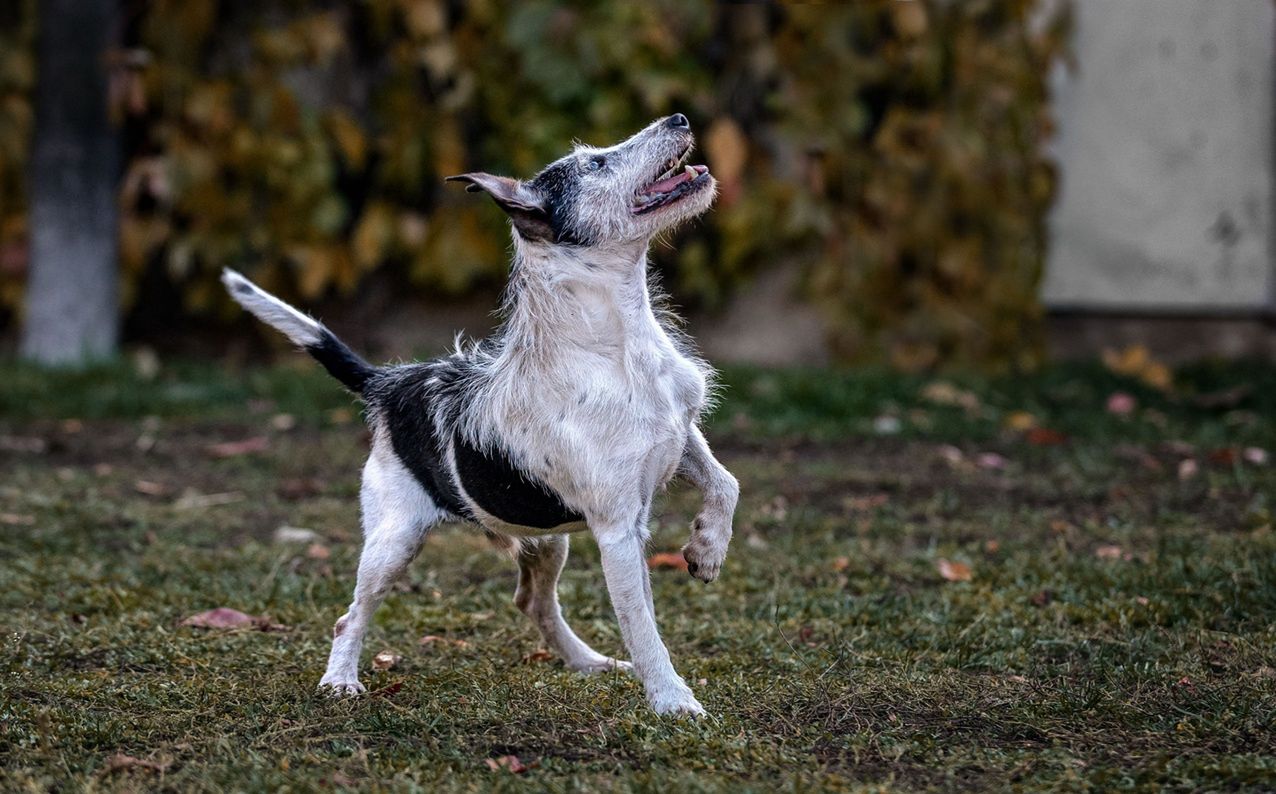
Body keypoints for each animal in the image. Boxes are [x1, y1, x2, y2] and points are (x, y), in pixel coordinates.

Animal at [219, 110, 740, 714]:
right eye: (595, 163)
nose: (679, 116)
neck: (618, 344)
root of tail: (389, 384)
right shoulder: (618, 530)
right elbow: (644, 627)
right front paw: (674, 702)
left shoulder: (681, 437)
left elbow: (726, 483)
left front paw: (706, 550)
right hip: (394, 540)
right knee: (351, 615)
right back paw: (340, 679)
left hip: (547, 537)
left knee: (533, 603)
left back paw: (589, 662)